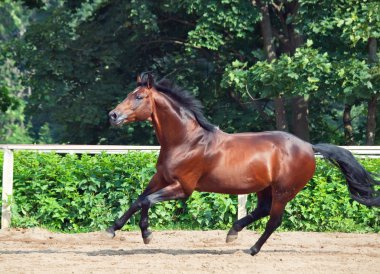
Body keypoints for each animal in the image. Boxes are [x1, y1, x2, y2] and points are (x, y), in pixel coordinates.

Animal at [107, 72, 380, 255]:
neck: (186, 140)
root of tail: (309, 147)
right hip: (264, 188)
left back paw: (252, 248)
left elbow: (145, 201)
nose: (113, 115)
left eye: (139, 96)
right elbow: (138, 199)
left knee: (273, 220)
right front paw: (114, 228)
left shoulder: (183, 188)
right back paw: (233, 232)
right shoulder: (160, 179)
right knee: (262, 210)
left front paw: (146, 234)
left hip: (284, 191)